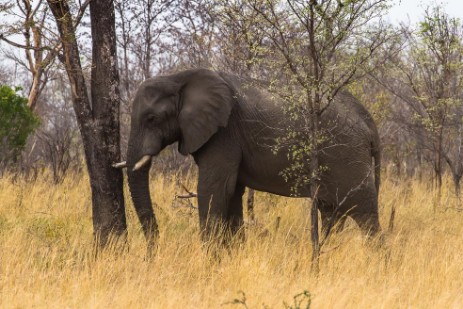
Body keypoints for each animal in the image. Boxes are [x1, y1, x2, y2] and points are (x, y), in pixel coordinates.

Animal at [125, 68, 382, 245]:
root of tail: (370, 123)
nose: (153, 253)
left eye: (151, 119)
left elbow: (214, 189)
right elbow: (232, 193)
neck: (179, 77)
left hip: (347, 155)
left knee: (364, 212)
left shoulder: (224, 132)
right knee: (332, 212)